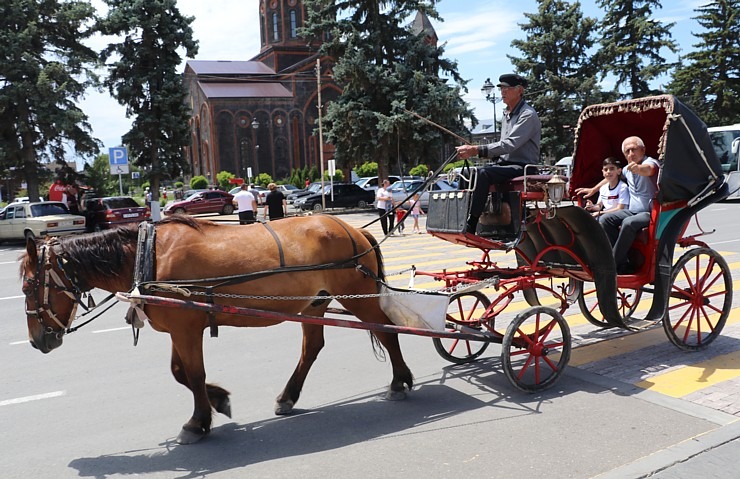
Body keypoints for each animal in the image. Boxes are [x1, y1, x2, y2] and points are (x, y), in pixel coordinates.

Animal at [20, 216, 414, 444]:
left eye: (27, 286)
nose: (38, 341)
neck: (148, 255)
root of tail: (354, 228)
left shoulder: (186, 327)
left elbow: (193, 374)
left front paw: (198, 422)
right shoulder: (181, 325)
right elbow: (179, 373)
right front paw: (218, 399)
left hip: (357, 296)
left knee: (387, 331)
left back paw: (399, 382)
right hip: (315, 303)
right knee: (312, 347)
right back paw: (288, 396)